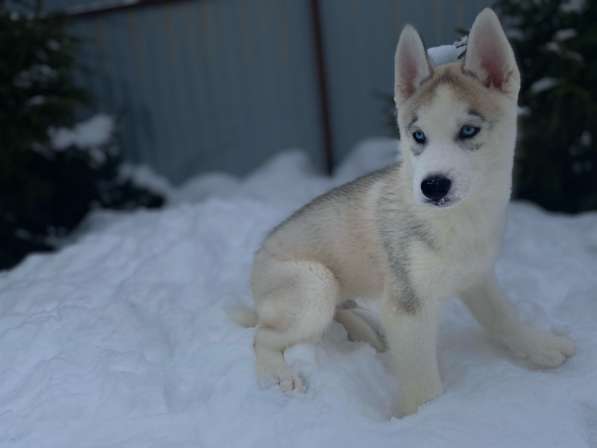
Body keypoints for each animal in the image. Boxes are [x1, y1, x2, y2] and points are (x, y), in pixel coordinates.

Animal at [236, 8, 572, 416]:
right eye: (418, 136)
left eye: (469, 130)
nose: (433, 186)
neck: (460, 222)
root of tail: (259, 257)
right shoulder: (408, 306)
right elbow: (424, 384)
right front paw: (428, 419)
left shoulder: (477, 276)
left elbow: (503, 318)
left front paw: (541, 346)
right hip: (314, 283)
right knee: (263, 335)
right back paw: (278, 374)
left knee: (334, 311)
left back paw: (367, 330)